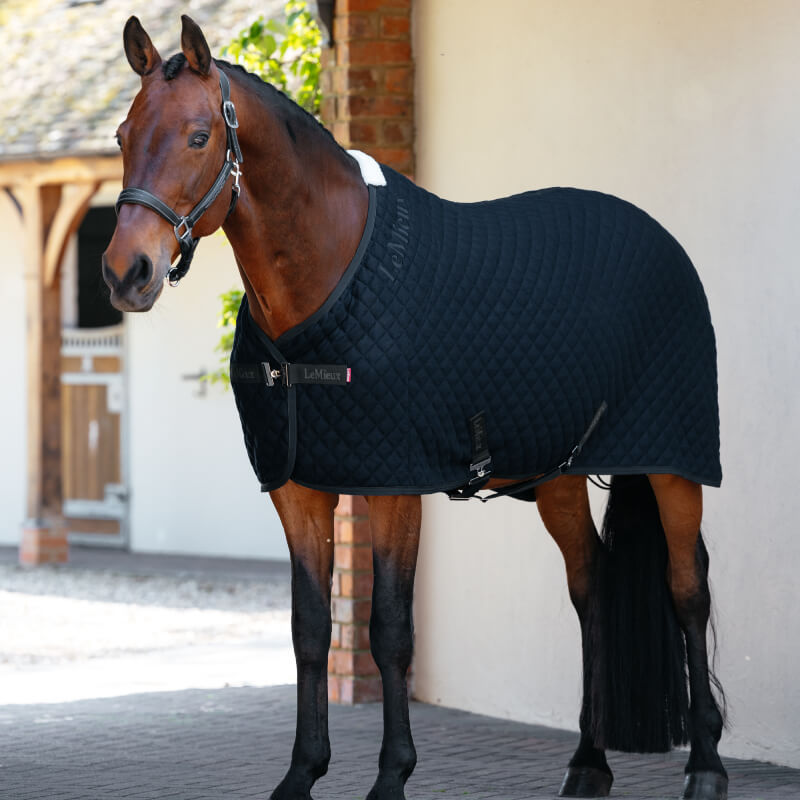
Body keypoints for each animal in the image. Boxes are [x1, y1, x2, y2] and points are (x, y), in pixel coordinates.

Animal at [103, 15, 728, 800]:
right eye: (123, 135)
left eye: (196, 136)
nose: (126, 272)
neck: (327, 285)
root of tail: (662, 240)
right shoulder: (299, 491)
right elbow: (311, 629)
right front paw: (301, 773)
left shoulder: (394, 488)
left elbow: (389, 630)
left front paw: (391, 775)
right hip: (559, 475)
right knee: (590, 586)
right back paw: (588, 763)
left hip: (676, 466)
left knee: (688, 589)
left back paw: (706, 766)